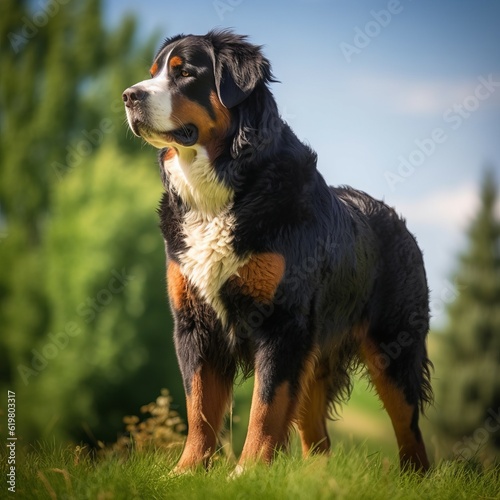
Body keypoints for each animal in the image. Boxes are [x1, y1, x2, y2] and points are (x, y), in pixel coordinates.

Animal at [123, 30, 432, 472]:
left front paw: (247, 472)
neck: (219, 192)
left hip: (394, 350)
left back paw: (413, 477)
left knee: (409, 430)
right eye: (153, 73)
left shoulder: (282, 323)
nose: (129, 96)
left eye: (184, 73)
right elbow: (199, 407)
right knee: (318, 438)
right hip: (317, 359)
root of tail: (396, 218)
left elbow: (265, 407)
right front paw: (186, 471)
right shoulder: (194, 324)